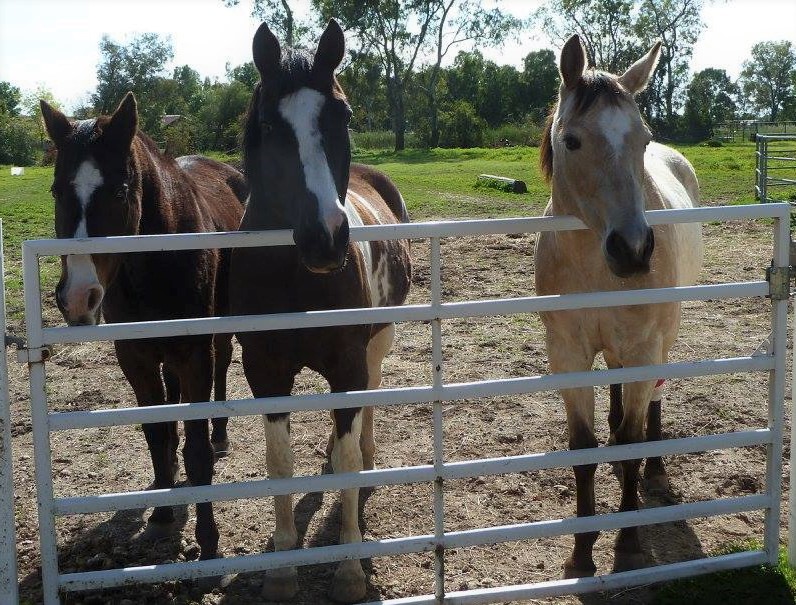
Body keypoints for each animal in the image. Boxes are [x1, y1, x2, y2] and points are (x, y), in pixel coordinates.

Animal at [39, 94, 246, 560]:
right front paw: (164, 511)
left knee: (223, 366)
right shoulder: (135, 357)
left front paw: (208, 542)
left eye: (119, 192)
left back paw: (221, 433)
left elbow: (198, 449)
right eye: (57, 191)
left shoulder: (194, 353)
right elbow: (155, 429)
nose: (77, 297)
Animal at [230, 20, 414, 604]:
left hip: (376, 343)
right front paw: (283, 569)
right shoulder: (264, 370)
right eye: (269, 123)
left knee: (368, 402)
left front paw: (350, 570)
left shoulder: (348, 363)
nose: (325, 238)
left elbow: (351, 463)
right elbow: (279, 462)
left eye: (344, 115)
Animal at [536, 35, 704, 580]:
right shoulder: (568, 354)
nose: (632, 249)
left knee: (651, 398)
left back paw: (656, 468)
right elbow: (582, 450)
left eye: (643, 140)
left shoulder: (644, 344)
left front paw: (629, 545)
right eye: (572, 141)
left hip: (660, 339)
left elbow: (631, 444)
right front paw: (582, 551)